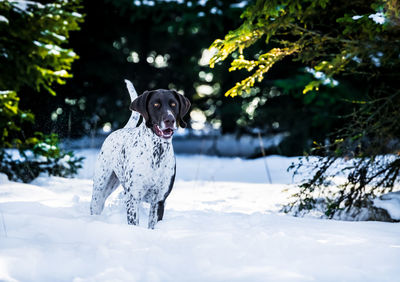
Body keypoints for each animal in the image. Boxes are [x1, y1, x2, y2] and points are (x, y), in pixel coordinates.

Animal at [90, 80, 191, 229]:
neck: (157, 153)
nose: (170, 120)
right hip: (100, 188)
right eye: (156, 105)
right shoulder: (133, 198)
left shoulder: (159, 200)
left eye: (174, 104)